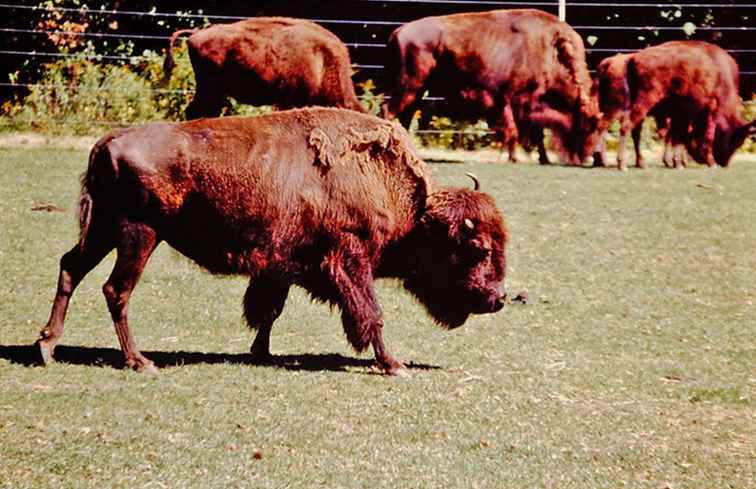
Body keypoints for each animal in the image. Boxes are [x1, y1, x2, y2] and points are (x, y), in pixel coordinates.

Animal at [35, 107, 508, 374]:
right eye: (478, 249)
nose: (499, 298)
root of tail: (109, 140)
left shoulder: (279, 267)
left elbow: (268, 311)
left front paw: (260, 353)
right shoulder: (351, 262)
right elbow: (371, 315)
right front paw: (394, 365)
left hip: (103, 230)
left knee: (70, 267)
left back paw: (47, 347)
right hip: (139, 234)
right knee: (116, 290)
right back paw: (140, 362)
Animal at [384, 9, 604, 164]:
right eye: (591, 124)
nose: (589, 156)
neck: (552, 51)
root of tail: (398, 31)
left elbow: (532, 133)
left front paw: (541, 158)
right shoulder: (516, 101)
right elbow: (516, 130)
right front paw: (513, 157)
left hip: (418, 90)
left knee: (404, 117)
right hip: (409, 85)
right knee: (389, 111)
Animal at [604, 42, 756, 172]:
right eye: (737, 141)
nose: (725, 163)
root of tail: (634, 58)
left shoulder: (682, 113)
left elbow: (679, 136)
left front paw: (677, 163)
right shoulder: (708, 108)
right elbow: (703, 136)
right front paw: (708, 162)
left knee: (635, 130)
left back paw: (639, 163)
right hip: (646, 100)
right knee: (627, 125)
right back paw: (623, 164)